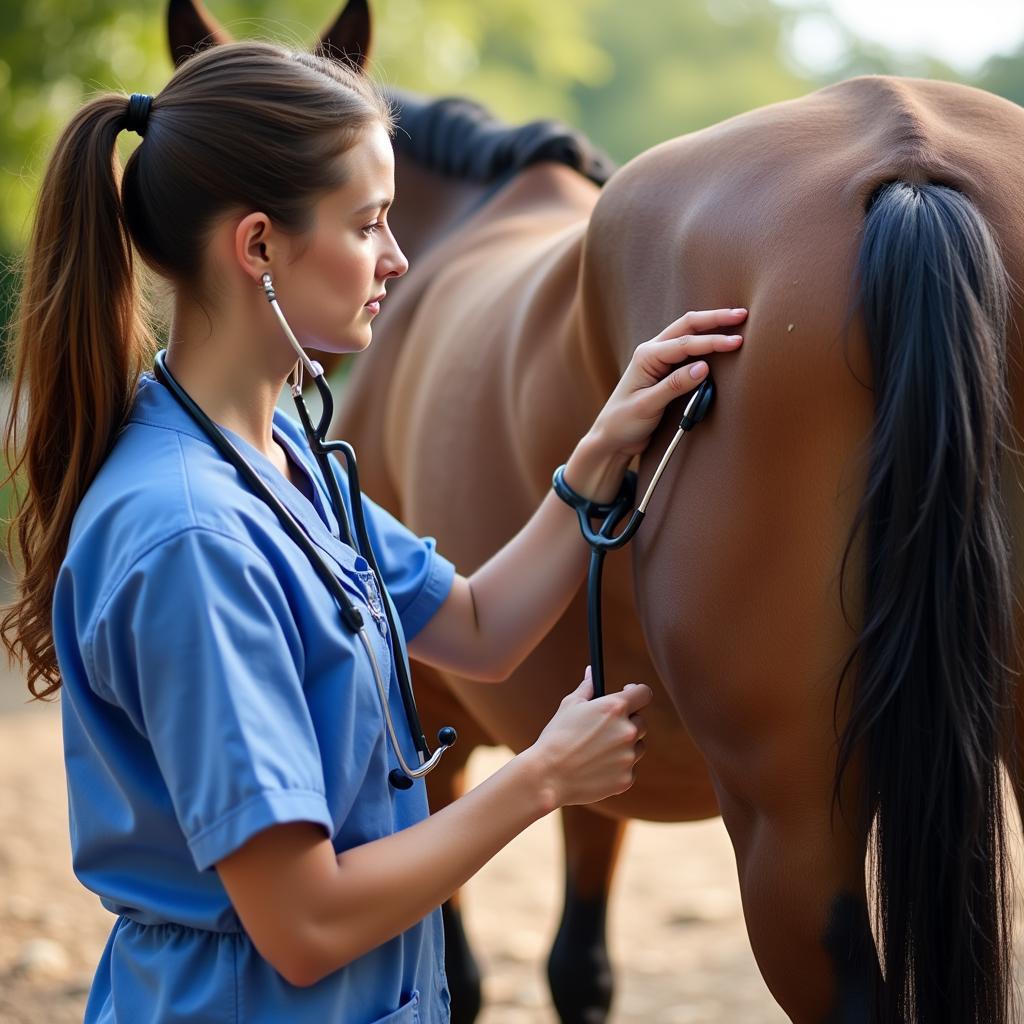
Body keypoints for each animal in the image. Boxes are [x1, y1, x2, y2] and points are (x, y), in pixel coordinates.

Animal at [167, 4, 1024, 1019]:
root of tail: (909, 158)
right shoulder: (589, 728)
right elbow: (580, 966)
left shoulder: (439, 737)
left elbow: (471, 972)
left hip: (786, 825)